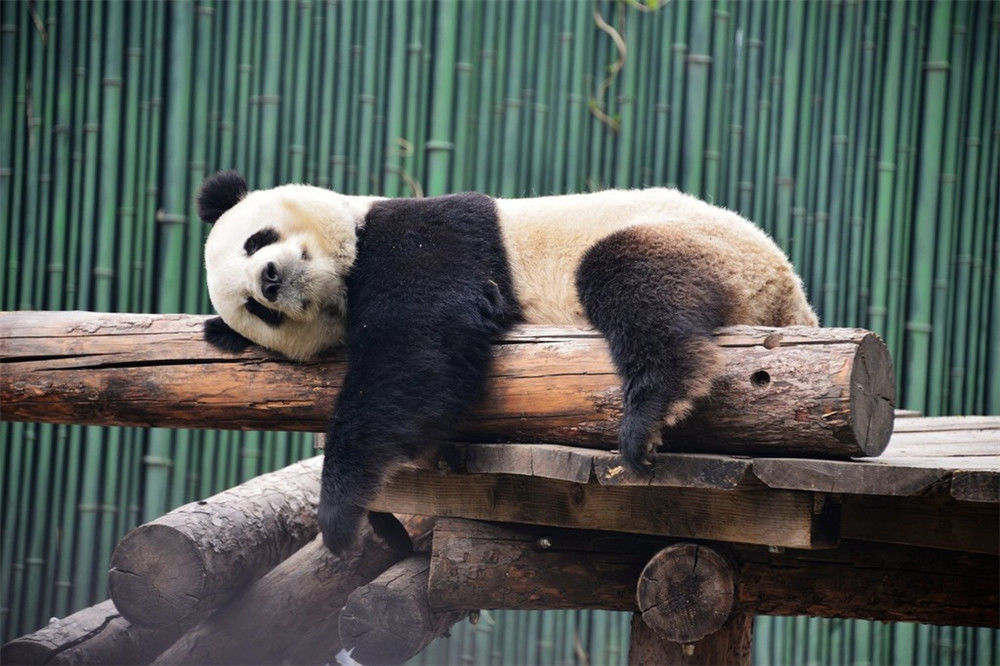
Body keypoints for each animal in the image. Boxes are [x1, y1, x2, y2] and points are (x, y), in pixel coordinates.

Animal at [197, 170, 820, 548]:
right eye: (257, 311)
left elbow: (418, 345)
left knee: (629, 274)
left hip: (710, 247)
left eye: (255, 241)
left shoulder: (427, 235)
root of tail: (789, 298)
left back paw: (655, 407)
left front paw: (339, 513)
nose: (269, 281)